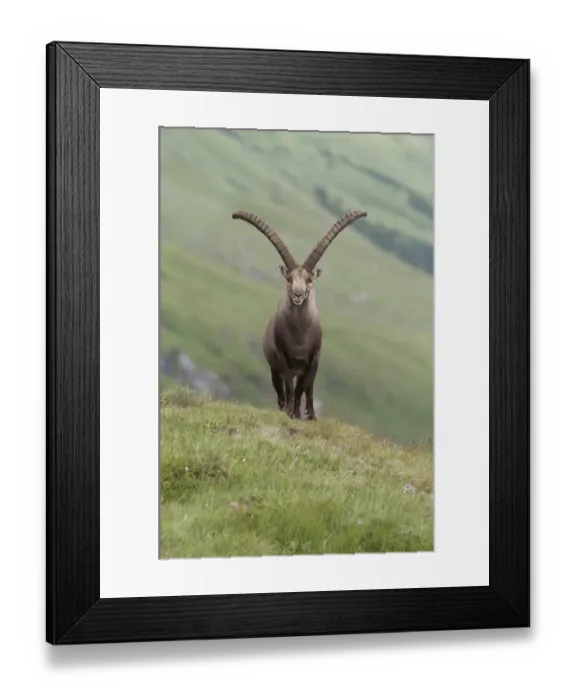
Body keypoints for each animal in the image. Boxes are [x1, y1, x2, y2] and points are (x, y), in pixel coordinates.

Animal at [232, 209, 368, 420]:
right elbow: (290, 388)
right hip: (274, 368)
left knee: (308, 389)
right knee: (281, 391)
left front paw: (301, 414)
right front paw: (291, 413)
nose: (297, 294)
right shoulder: (283, 358)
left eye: (309, 279)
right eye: (289, 279)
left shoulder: (313, 359)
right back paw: (285, 409)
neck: (299, 336)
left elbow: (302, 389)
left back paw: (310, 414)